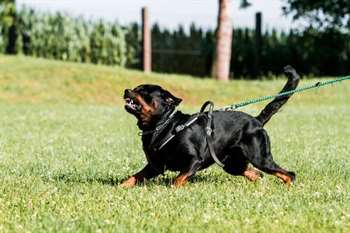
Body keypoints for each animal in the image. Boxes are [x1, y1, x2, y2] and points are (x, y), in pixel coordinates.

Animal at [121, 65, 300, 187]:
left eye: (143, 91)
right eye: (135, 88)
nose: (126, 90)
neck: (163, 126)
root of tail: (256, 120)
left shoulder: (194, 160)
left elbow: (178, 179)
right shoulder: (155, 166)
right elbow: (134, 177)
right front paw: (120, 187)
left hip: (260, 157)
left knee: (289, 174)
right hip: (232, 164)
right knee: (256, 174)